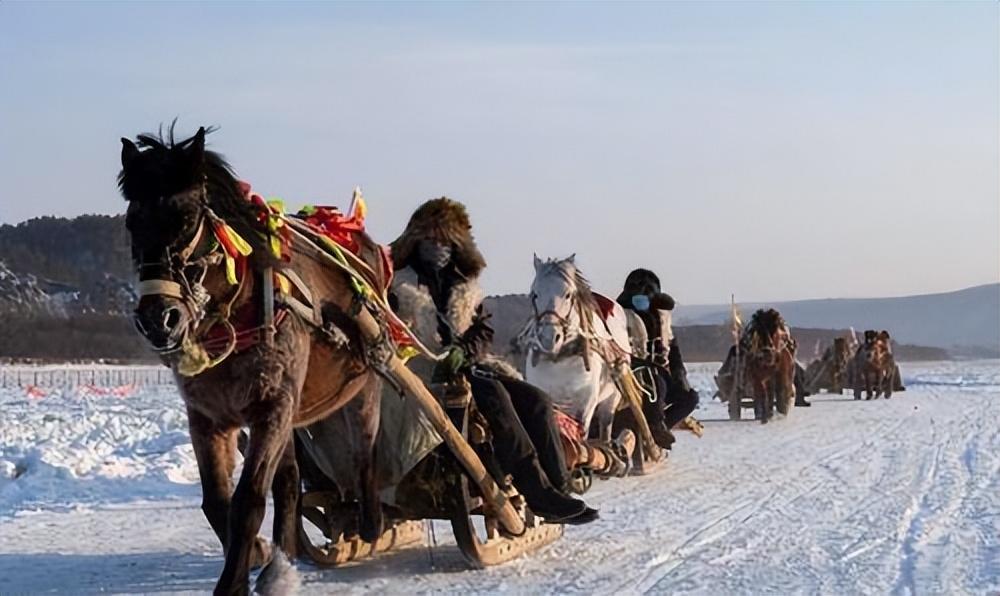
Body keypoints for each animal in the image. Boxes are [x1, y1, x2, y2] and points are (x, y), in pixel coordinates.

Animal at [117, 124, 382, 592]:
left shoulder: (271, 406)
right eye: (133, 222)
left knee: (364, 451)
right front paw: (258, 554)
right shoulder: (208, 418)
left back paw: (368, 520)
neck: (234, 319)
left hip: (362, 385)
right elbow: (216, 502)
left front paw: (233, 581)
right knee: (291, 482)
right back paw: (282, 561)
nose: (157, 318)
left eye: (186, 218)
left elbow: (249, 501)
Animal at [520, 255, 628, 442]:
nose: (549, 338)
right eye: (534, 294)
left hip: (611, 399)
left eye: (568, 295)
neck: (559, 360)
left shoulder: (586, 402)